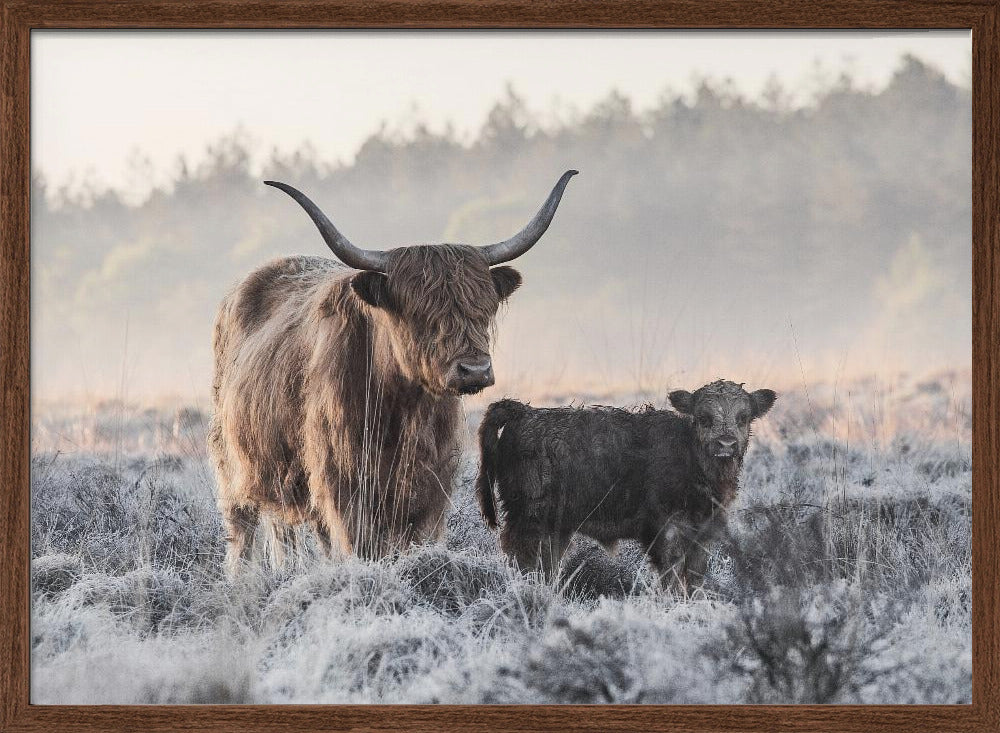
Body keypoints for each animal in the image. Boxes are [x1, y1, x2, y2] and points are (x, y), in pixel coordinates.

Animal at [209, 171, 577, 575]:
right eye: (420, 313)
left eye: (483, 308)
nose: (475, 370)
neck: (403, 409)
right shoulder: (343, 486)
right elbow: (360, 546)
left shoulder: (431, 489)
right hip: (233, 465)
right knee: (243, 530)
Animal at [476, 380, 776, 594]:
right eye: (703, 417)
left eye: (743, 417)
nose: (726, 444)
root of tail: (524, 412)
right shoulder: (666, 530)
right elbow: (672, 575)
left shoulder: (703, 533)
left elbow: (694, 578)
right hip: (529, 518)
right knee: (523, 558)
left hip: (556, 527)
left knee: (546, 563)